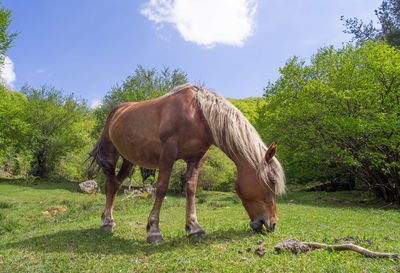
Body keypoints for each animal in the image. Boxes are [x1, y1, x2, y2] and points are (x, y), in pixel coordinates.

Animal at [88, 83, 286, 242]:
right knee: (109, 185)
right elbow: (161, 189)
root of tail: (116, 112)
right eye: (272, 181)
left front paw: (194, 227)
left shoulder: (196, 159)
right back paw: (107, 222)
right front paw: (154, 229)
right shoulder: (167, 156)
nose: (273, 224)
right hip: (111, 155)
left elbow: (190, 189)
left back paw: (109, 220)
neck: (198, 115)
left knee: (115, 185)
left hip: (128, 161)